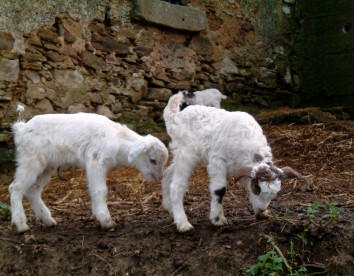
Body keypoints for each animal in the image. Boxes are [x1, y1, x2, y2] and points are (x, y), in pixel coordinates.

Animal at [9, 106, 168, 232]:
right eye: (153, 160)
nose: (159, 178)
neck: (117, 139)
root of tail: (21, 128)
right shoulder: (96, 161)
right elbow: (101, 191)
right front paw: (106, 221)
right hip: (31, 160)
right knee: (16, 187)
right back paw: (21, 225)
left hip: (48, 165)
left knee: (33, 189)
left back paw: (47, 219)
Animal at [162, 92, 302, 231]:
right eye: (257, 189)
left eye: (274, 194)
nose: (262, 208)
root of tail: (175, 117)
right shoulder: (217, 160)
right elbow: (219, 189)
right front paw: (217, 219)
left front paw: (262, 214)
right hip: (187, 154)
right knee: (177, 185)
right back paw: (183, 223)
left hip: (179, 154)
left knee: (168, 174)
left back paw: (170, 208)